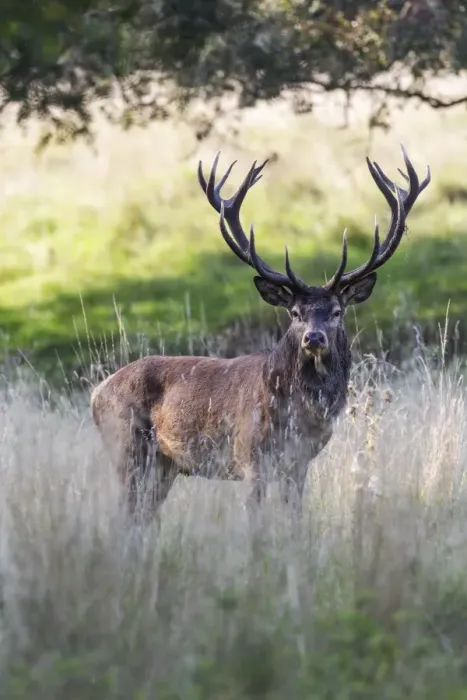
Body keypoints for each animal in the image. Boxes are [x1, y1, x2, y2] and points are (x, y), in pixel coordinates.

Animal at [91, 145, 430, 519]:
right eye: (295, 313)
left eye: (337, 311)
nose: (314, 338)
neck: (299, 415)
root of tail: (96, 392)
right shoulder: (249, 455)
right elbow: (255, 521)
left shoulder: (300, 462)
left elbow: (295, 517)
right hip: (126, 448)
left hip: (164, 466)